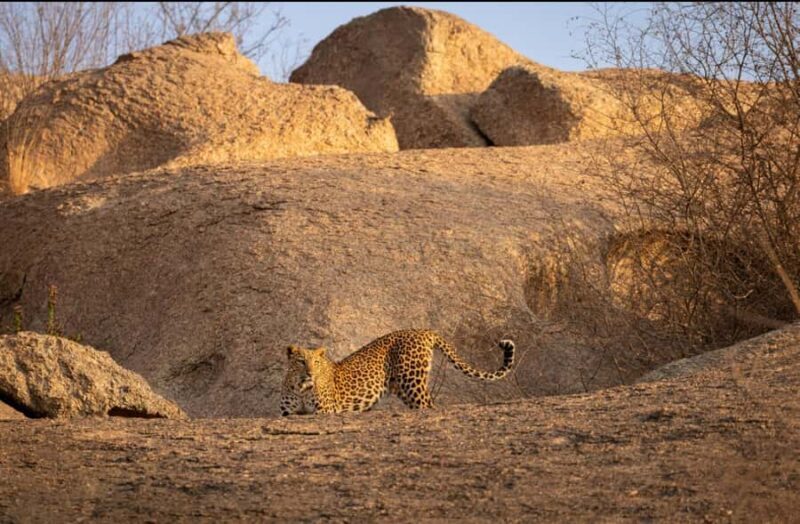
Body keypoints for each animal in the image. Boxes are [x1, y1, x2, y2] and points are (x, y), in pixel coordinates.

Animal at [280, 329, 515, 415]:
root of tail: (424, 330)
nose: (310, 373)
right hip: (403, 388)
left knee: (428, 405)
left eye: (316, 362)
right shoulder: (287, 413)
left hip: (412, 382)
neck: (301, 387)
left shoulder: (324, 410)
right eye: (301, 362)